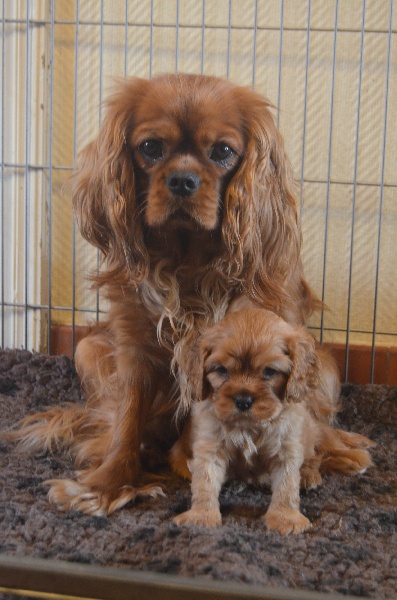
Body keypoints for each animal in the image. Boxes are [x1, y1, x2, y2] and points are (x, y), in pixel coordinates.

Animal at [10, 75, 332, 516]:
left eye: (223, 151)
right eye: (150, 147)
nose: (182, 179)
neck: (187, 262)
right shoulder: (134, 349)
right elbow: (127, 417)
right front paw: (108, 484)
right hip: (87, 349)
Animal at [171, 310, 374, 536]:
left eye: (269, 371)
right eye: (222, 370)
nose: (243, 400)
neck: (249, 426)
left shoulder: (286, 446)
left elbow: (287, 485)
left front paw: (286, 517)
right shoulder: (209, 446)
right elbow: (204, 481)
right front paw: (201, 515)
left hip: (309, 429)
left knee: (320, 449)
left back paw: (338, 463)